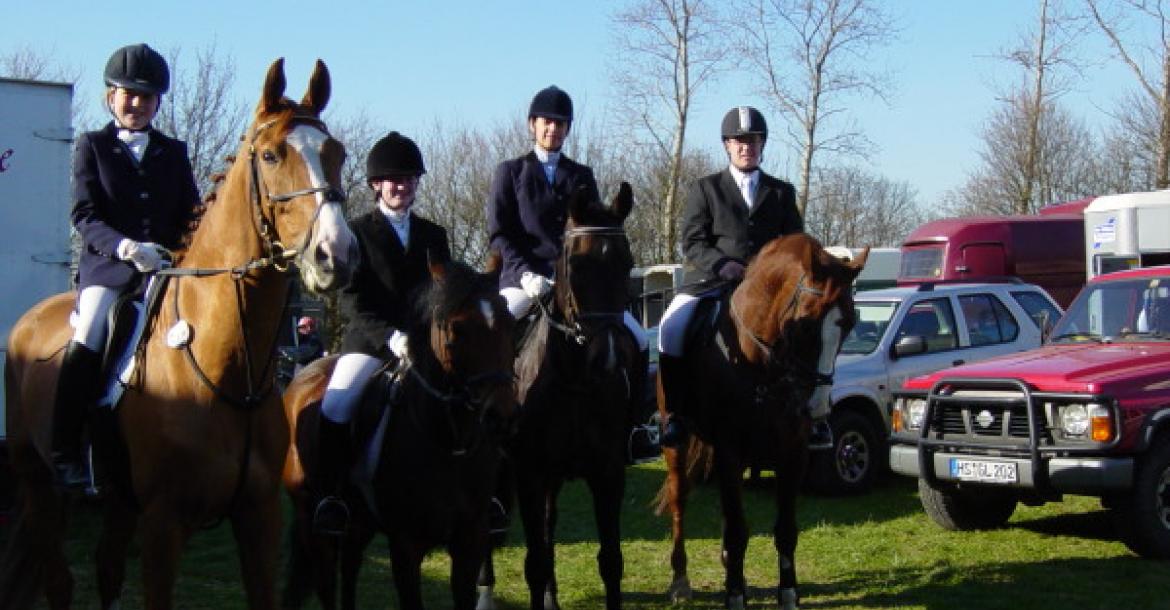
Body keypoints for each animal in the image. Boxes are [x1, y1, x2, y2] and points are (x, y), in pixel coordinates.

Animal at [0, 58, 358, 610]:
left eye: (336, 153)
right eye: (272, 155)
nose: (335, 255)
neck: (229, 368)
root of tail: (31, 317)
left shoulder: (259, 517)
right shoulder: (164, 524)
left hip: (118, 499)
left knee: (105, 567)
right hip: (37, 479)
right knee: (58, 577)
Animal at [281, 256, 517, 610]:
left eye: (509, 322)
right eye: (455, 329)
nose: (501, 417)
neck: (448, 443)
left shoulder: (470, 538)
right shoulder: (406, 545)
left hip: (359, 520)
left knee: (350, 565)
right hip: (312, 518)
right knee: (325, 582)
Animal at [478, 182, 638, 610]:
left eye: (627, 264)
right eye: (576, 265)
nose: (609, 359)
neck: (575, 381)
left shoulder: (608, 472)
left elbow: (611, 561)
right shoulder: (529, 474)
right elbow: (533, 562)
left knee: (549, 527)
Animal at [654, 234, 866, 610]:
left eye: (850, 324)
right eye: (807, 324)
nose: (816, 409)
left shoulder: (793, 453)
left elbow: (785, 530)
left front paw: (788, 595)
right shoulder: (729, 451)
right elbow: (738, 531)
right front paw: (735, 596)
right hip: (677, 444)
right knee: (680, 500)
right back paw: (680, 580)